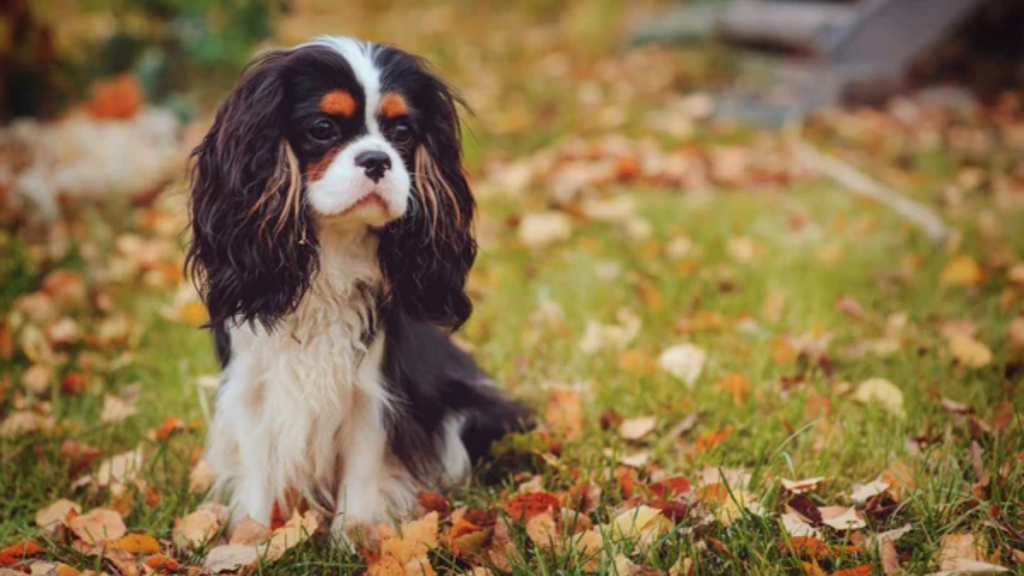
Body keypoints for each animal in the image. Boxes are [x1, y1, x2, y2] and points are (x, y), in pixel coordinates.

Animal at [187, 36, 532, 528]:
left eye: (402, 132)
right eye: (322, 129)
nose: (377, 159)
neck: (331, 254)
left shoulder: (373, 394)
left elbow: (361, 480)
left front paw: (356, 538)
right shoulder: (253, 390)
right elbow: (257, 480)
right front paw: (251, 538)